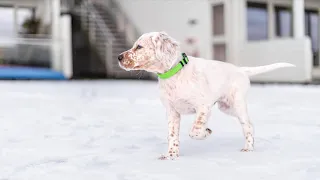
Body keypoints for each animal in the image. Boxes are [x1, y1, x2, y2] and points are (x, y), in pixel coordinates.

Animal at [117, 31, 296, 160]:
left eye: (139, 47)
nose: (118, 57)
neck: (174, 76)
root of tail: (241, 69)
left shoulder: (203, 107)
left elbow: (194, 129)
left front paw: (206, 132)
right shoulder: (172, 112)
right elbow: (172, 135)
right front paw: (171, 156)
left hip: (237, 105)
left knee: (249, 126)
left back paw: (248, 148)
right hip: (226, 108)